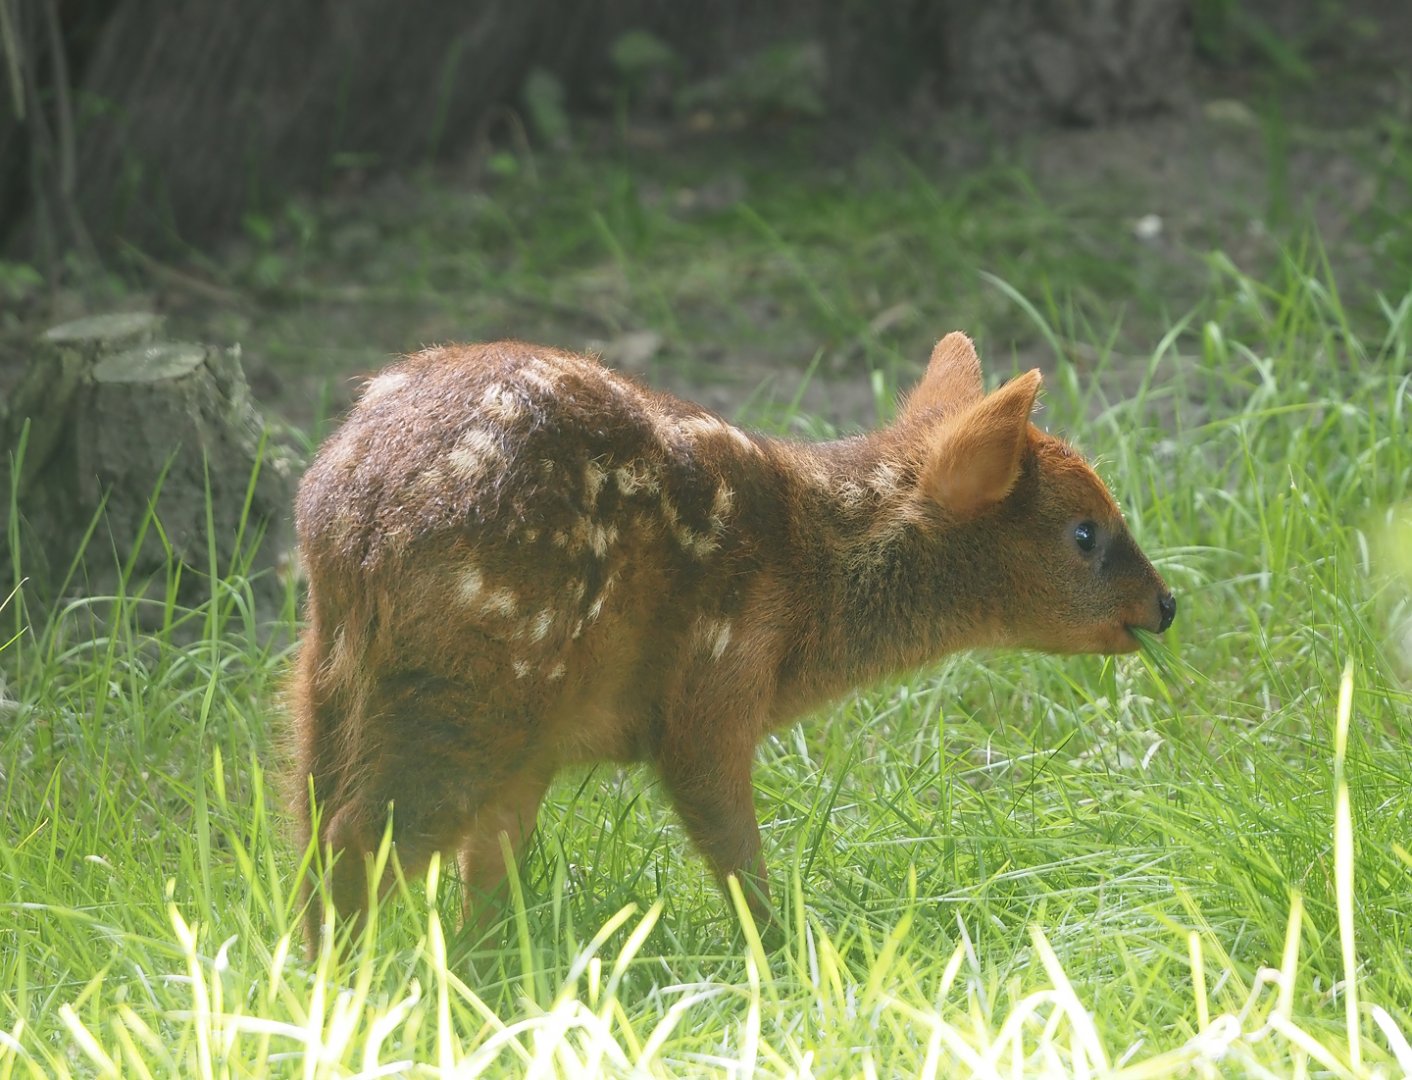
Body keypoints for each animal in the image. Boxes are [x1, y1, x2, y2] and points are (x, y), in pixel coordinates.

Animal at [288, 332, 1175, 952]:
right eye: (1086, 533)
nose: (1167, 604)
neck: (806, 575)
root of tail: (352, 515)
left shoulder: (542, 760)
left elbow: (491, 877)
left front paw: (496, 975)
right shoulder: (711, 699)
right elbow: (736, 860)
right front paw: (791, 960)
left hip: (330, 679)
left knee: (308, 829)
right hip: (474, 689)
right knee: (355, 841)